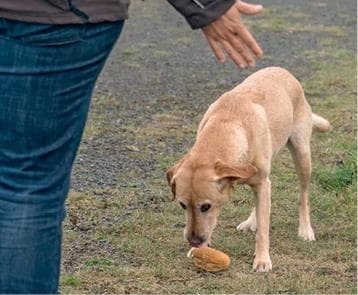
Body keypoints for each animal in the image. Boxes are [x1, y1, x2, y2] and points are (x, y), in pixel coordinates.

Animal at [166, 67, 330, 272]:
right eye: (182, 205)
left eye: (206, 206)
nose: (194, 241)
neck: (229, 123)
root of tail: (283, 70)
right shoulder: (259, 182)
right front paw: (201, 251)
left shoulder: (261, 183)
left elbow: (264, 229)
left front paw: (262, 260)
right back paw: (252, 221)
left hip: (302, 156)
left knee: (303, 195)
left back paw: (305, 229)